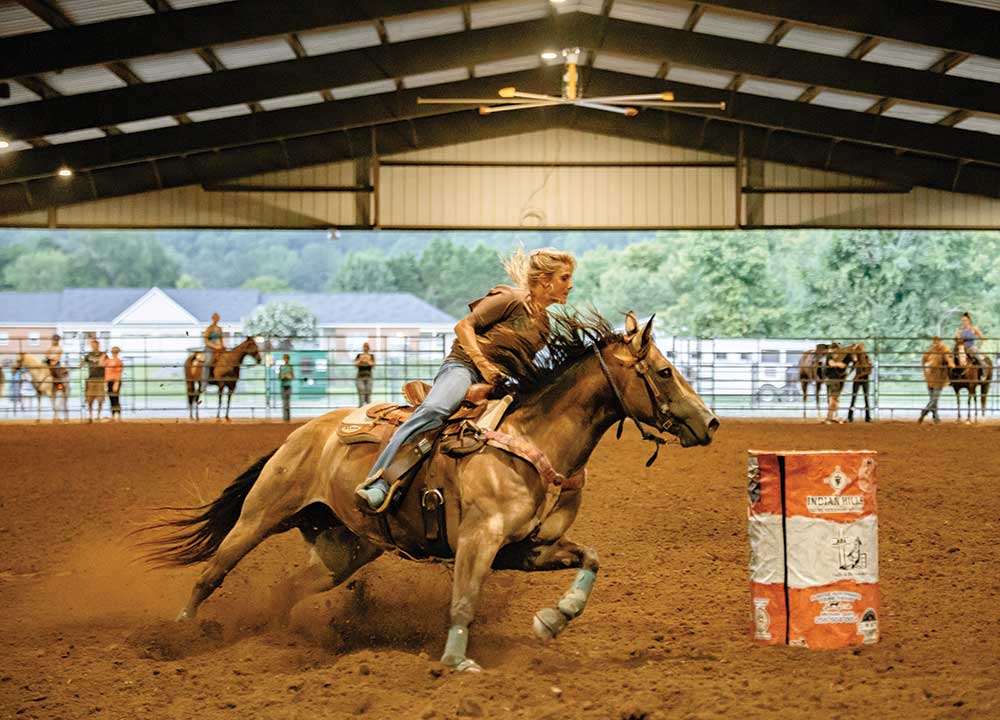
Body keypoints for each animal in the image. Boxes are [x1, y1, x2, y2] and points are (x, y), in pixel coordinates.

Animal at [139, 311, 719, 672]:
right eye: (663, 371)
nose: (711, 422)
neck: (531, 440)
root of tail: (299, 433)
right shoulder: (478, 541)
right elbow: (463, 601)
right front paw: (456, 661)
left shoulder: (522, 549)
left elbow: (592, 557)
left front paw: (555, 619)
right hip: (260, 517)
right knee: (211, 575)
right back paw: (180, 633)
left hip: (342, 551)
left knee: (291, 588)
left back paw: (272, 636)